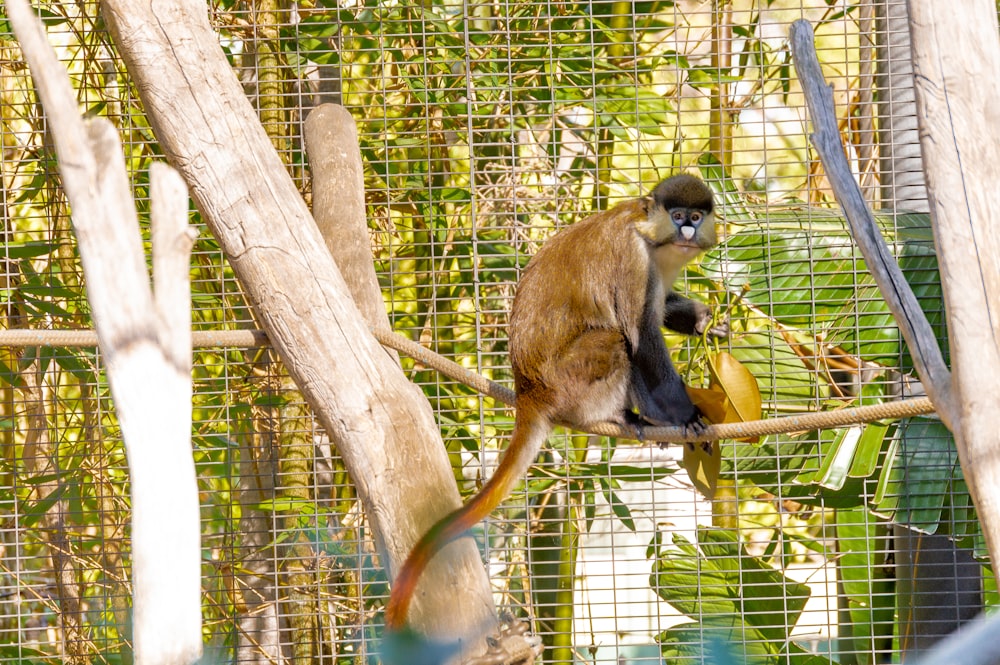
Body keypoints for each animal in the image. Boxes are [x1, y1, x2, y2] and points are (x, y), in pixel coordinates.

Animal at [380, 174, 720, 632]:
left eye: (697, 217)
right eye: (679, 214)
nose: (686, 230)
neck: (653, 237)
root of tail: (530, 391)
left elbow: (660, 313)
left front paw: (702, 321)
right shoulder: (634, 261)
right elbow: (641, 335)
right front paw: (686, 415)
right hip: (570, 381)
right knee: (616, 339)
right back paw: (631, 416)